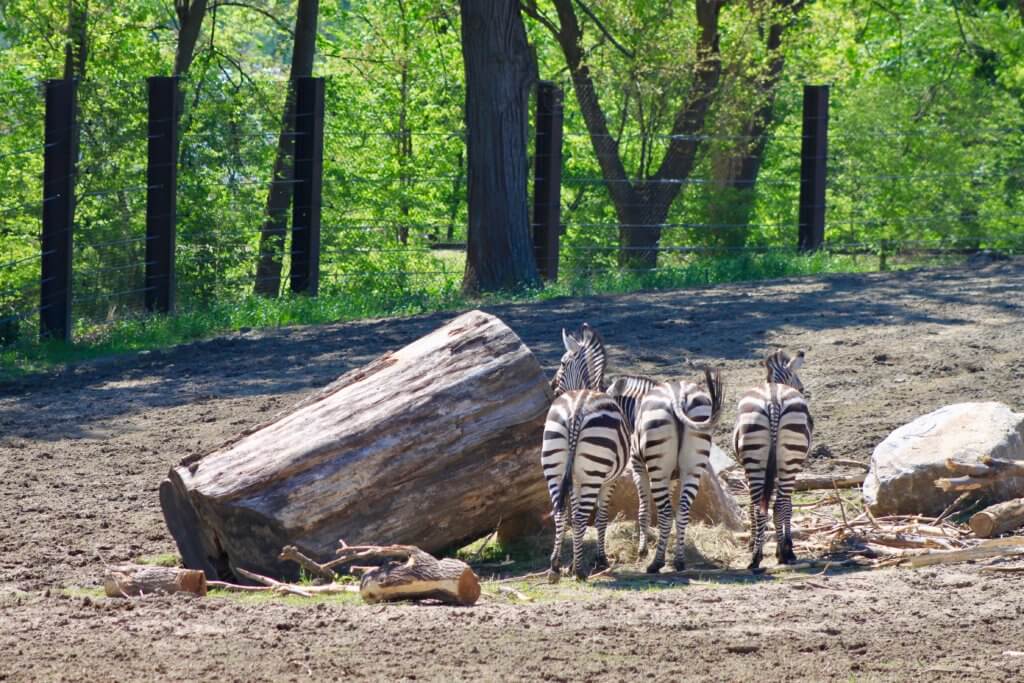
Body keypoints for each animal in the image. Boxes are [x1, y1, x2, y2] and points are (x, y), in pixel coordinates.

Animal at [540, 327, 626, 581]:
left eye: (562, 362)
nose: (552, 387)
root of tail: (577, 408)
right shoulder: (610, 479)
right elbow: (601, 516)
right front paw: (600, 560)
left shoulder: (575, 479)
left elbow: (573, 512)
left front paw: (569, 563)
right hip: (594, 473)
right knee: (580, 516)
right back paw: (579, 571)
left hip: (554, 467)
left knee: (560, 513)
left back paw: (555, 567)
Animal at [630, 366, 729, 573]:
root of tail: (679, 397)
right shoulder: (673, 477)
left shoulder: (638, 467)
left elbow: (643, 510)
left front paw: (642, 550)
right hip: (693, 467)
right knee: (682, 511)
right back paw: (679, 560)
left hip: (658, 468)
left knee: (667, 513)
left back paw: (656, 563)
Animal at [733, 350, 811, 569]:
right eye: (801, 388)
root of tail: (774, 400)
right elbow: (789, 506)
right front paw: (786, 545)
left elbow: (753, 505)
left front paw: (754, 542)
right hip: (789, 462)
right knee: (779, 505)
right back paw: (784, 553)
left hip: (755, 457)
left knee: (762, 507)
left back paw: (755, 558)